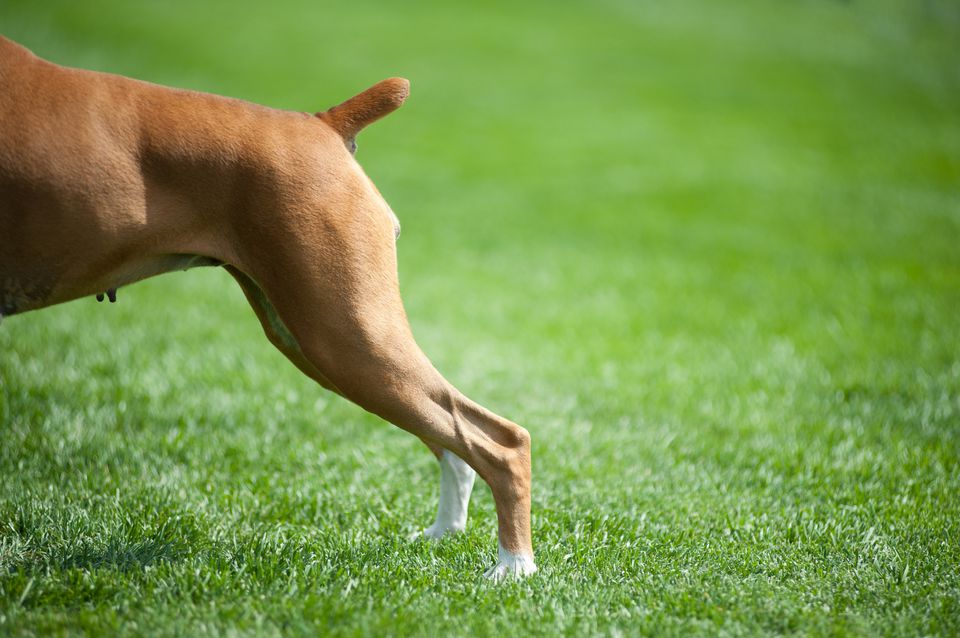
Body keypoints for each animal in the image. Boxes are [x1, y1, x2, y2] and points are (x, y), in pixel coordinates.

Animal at [0, 37, 536, 584]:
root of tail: (321, 122)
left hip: (345, 332)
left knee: (500, 441)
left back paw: (513, 567)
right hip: (314, 338)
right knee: (451, 436)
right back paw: (444, 532)